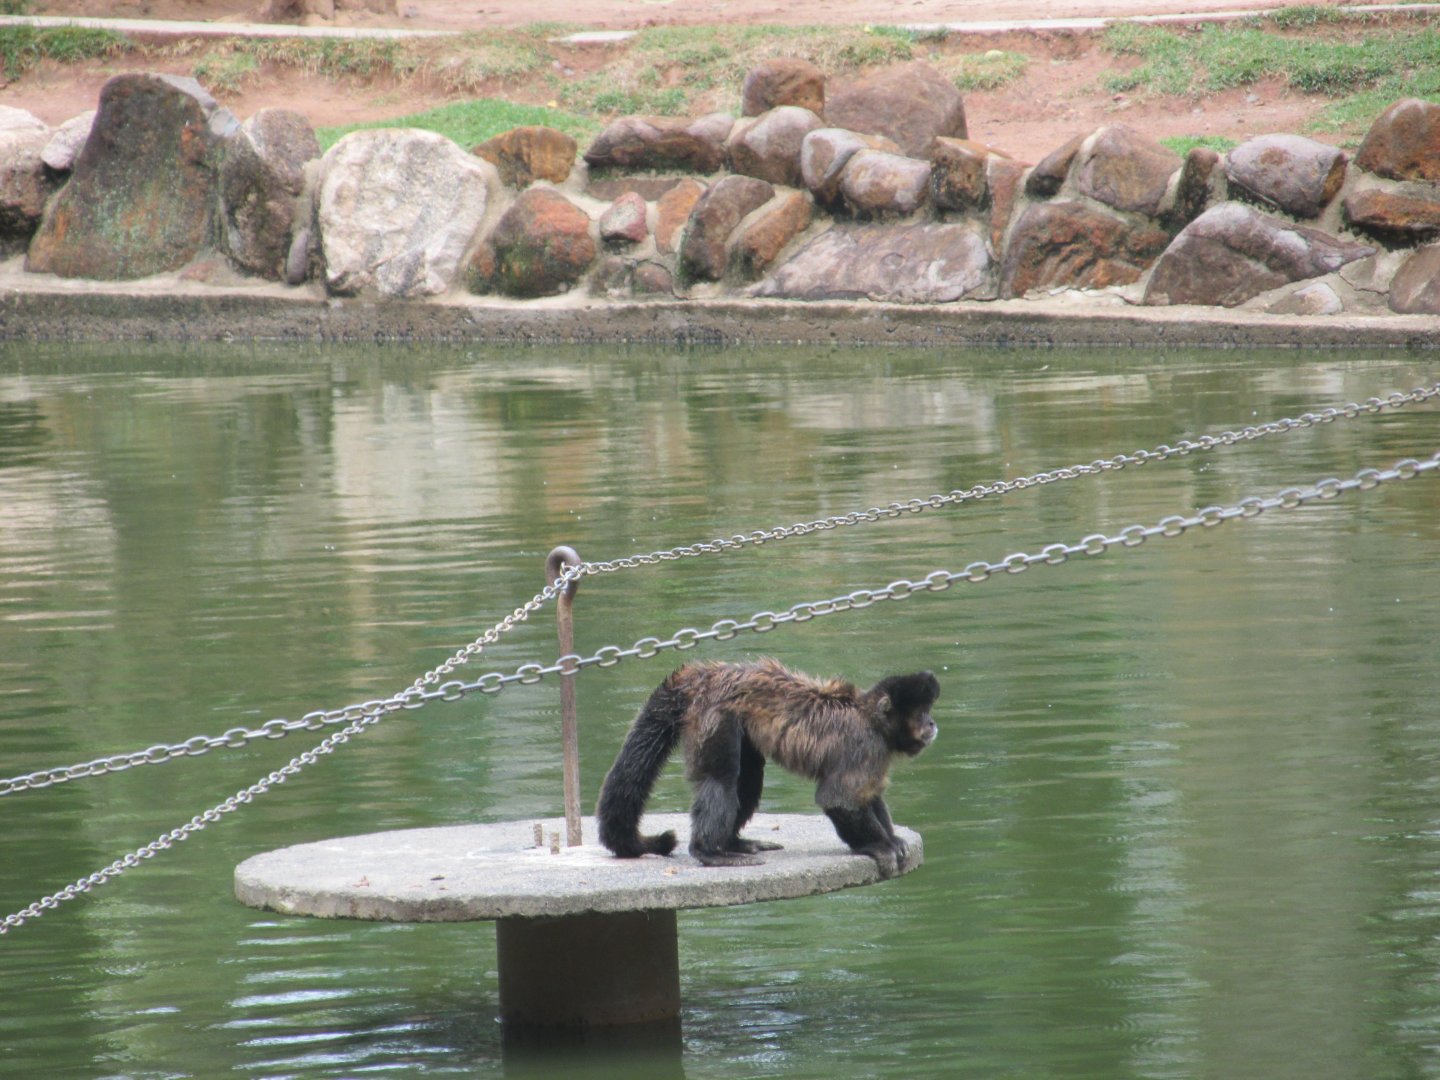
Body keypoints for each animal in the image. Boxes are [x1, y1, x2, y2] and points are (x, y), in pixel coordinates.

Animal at [596, 658, 939, 879]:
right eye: (922, 714)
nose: (932, 723)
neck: (869, 717)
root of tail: (708, 675)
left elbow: (867, 796)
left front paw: (892, 839)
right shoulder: (866, 747)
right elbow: (837, 800)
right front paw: (879, 846)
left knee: (747, 781)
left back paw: (731, 842)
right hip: (716, 714)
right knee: (720, 780)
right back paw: (709, 851)